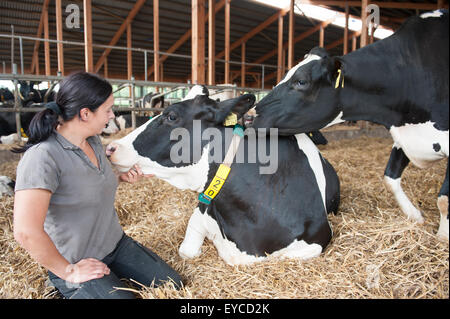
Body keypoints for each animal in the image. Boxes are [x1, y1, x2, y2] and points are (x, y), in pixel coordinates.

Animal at [251, 10, 448, 240]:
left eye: (301, 82)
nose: (252, 113)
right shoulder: (403, 136)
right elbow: (390, 178)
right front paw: (415, 215)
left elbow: (443, 199)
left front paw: (443, 237)